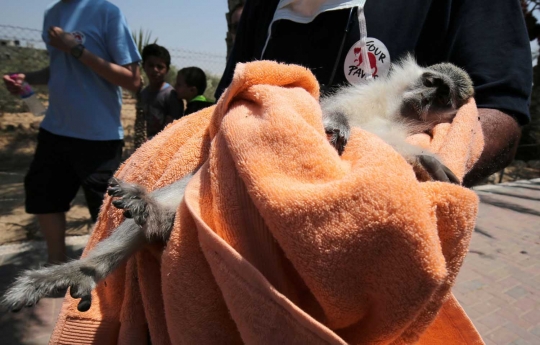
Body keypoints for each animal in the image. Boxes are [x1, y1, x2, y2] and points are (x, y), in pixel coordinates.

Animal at [2, 56, 472, 312]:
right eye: (431, 82)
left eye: (442, 96)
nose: (427, 96)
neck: (395, 110)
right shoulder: (362, 100)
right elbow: (322, 110)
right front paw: (336, 125)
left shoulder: (400, 130)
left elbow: (403, 151)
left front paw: (428, 160)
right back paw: (119, 241)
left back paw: (150, 225)